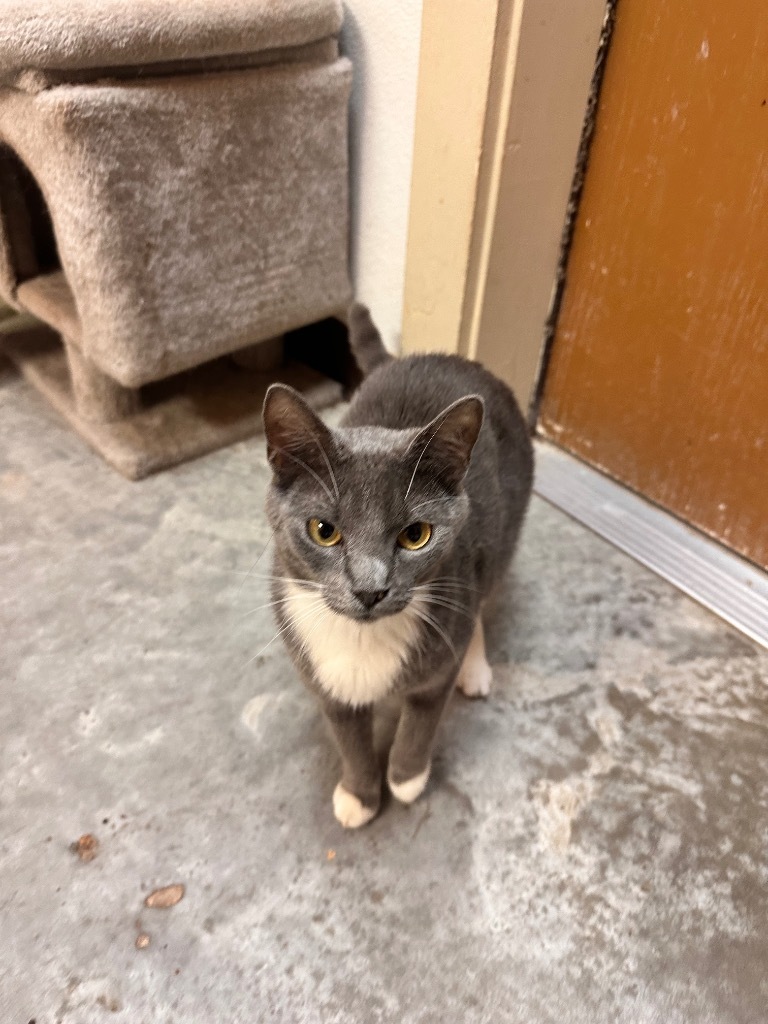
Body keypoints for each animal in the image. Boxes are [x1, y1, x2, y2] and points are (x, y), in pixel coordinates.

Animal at [262, 301, 532, 823]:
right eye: (323, 530)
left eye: (415, 535)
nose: (370, 590)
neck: (361, 640)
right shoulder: (322, 679)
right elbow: (349, 738)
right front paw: (359, 796)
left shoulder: (439, 652)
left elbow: (420, 721)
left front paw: (406, 781)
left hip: (500, 537)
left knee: (482, 600)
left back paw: (475, 669)